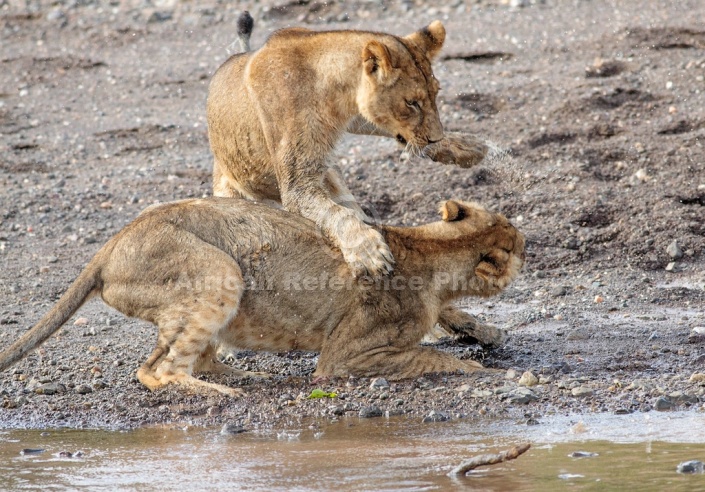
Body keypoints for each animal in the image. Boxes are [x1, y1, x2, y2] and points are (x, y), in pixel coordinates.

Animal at [0, 198, 524, 394]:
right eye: (518, 243)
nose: (529, 243)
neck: (431, 249)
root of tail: (107, 248)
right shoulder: (346, 356)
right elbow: (429, 357)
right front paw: (482, 370)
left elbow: (451, 318)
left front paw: (485, 331)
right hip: (219, 273)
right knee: (155, 371)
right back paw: (220, 391)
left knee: (185, 356)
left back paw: (240, 374)